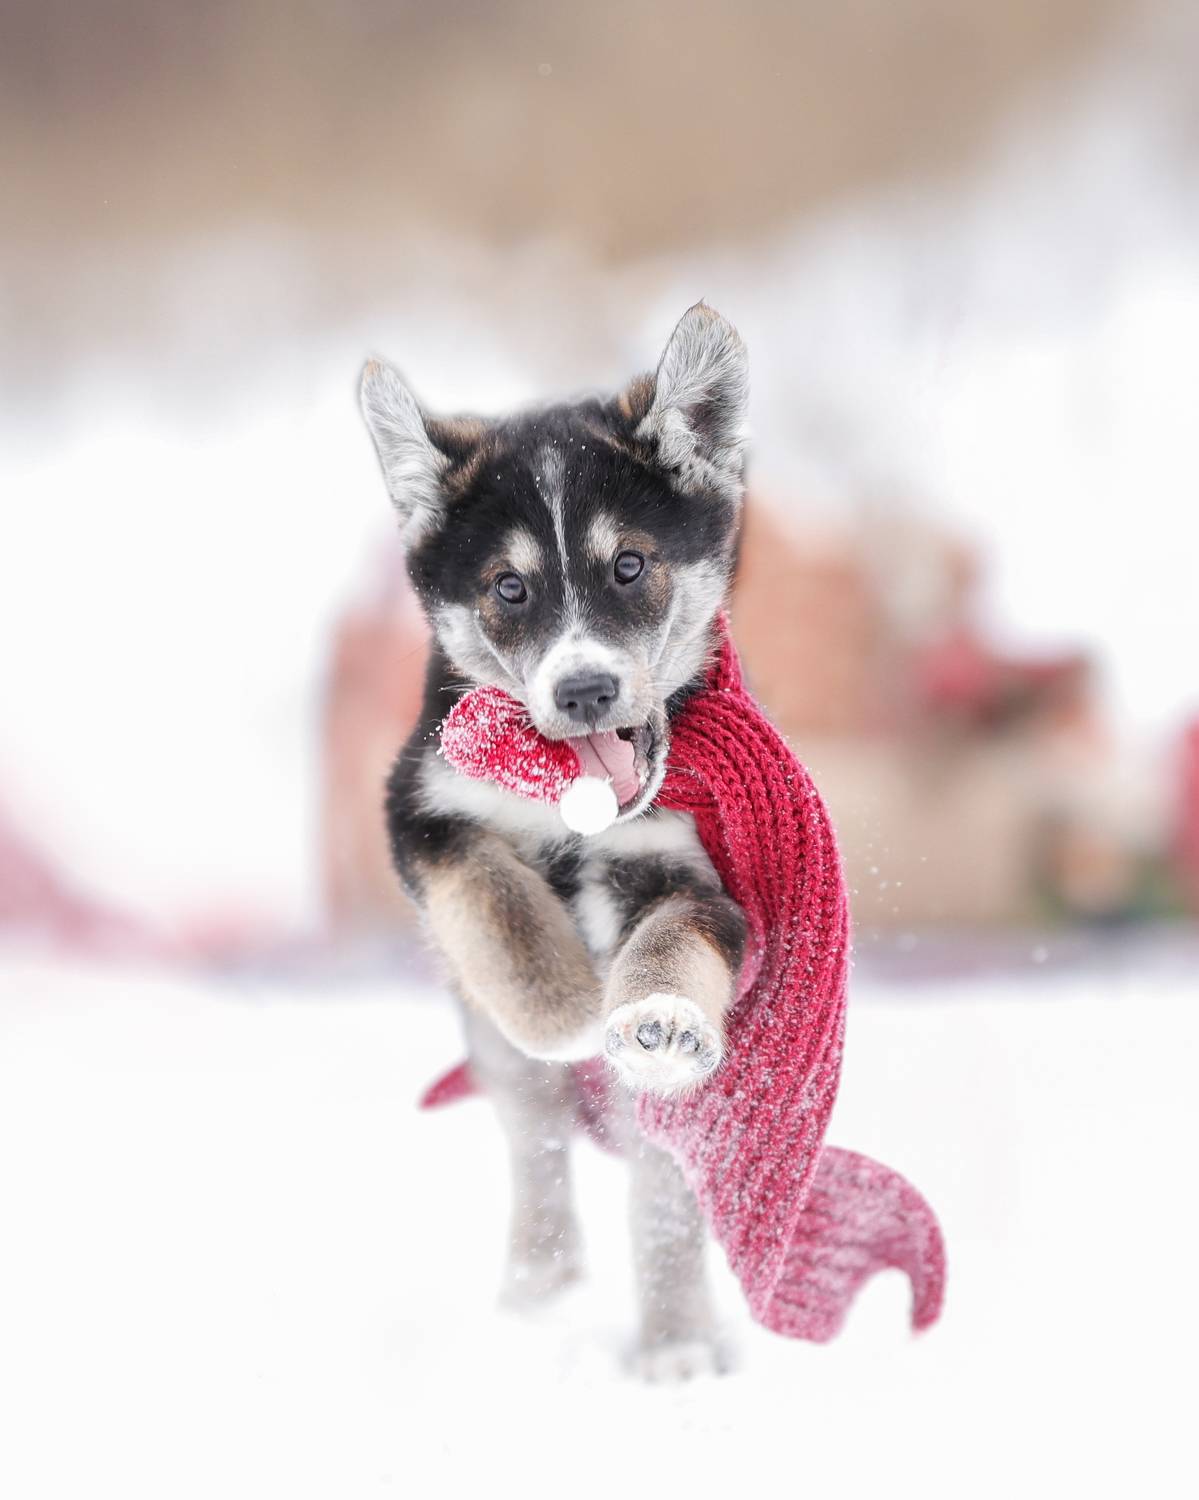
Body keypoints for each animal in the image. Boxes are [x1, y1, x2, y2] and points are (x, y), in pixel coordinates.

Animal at [359, 304, 751, 1380]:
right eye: (507, 588)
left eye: (630, 564)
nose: (583, 692)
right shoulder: (421, 814)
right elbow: (496, 904)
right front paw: (571, 1004)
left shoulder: (697, 873)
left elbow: (669, 947)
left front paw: (649, 1015)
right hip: (493, 1059)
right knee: (533, 1141)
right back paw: (540, 1292)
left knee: (660, 1195)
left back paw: (677, 1346)